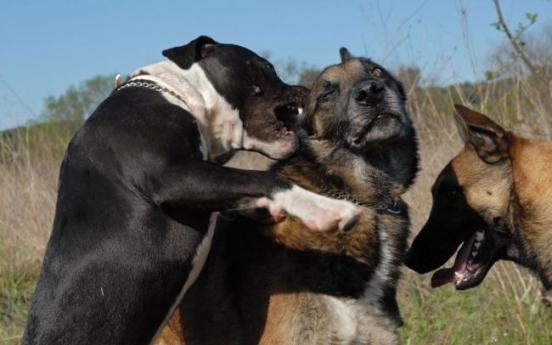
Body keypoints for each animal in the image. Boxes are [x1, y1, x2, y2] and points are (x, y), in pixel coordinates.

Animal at [22, 35, 358, 344]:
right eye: (267, 66)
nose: (306, 88)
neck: (181, 96)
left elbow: (241, 187)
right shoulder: (170, 175)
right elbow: (262, 178)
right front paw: (327, 209)